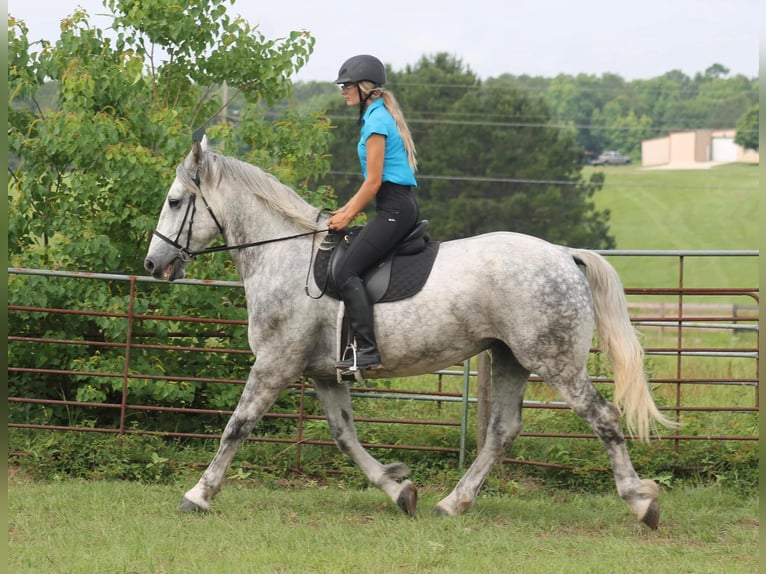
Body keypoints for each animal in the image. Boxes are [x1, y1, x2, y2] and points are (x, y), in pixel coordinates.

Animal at [146, 137, 680, 528]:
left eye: (174, 201)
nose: (153, 264)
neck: (286, 255)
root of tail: (565, 254)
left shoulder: (276, 362)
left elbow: (237, 425)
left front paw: (198, 494)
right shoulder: (324, 372)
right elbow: (344, 435)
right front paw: (398, 488)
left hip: (554, 360)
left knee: (603, 417)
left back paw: (642, 502)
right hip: (509, 357)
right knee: (502, 430)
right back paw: (453, 503)